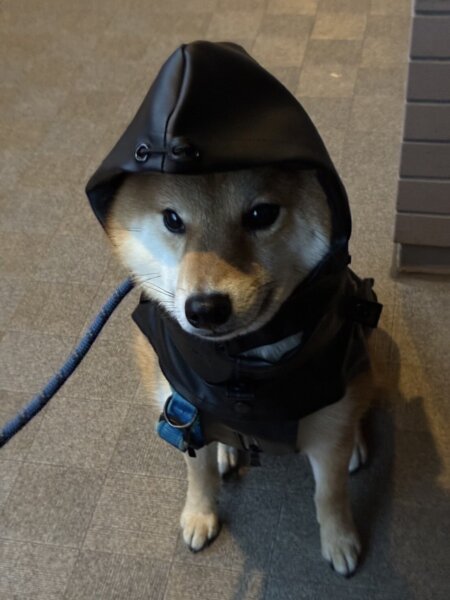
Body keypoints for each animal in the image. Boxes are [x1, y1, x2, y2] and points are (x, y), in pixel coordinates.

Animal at [104, 165, 374, 577]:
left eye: (261, 214)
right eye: (172, 219)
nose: (205, 308)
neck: (244, 371)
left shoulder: (329, 432)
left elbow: (330, 493)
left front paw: (339, 540)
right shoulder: (183, 412)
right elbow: (198, 474)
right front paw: (200, 515)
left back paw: (356, 444)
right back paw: (226, 452)